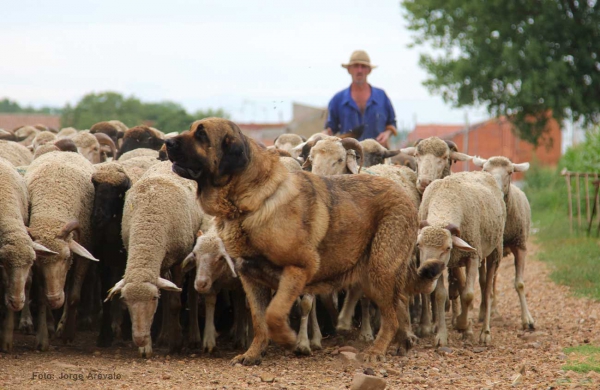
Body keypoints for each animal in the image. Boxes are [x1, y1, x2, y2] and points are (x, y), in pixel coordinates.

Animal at [105, 161, 204, 356]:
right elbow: (165, 299)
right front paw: (146, 347)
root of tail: (167, 161)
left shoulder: (179, 261)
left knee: (191, 292)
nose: (139, 339)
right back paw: (164, 336)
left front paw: (176, 342)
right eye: (126, 300)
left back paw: (193, 337)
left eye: (152, 299)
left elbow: (175, 303)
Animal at [418, 172, 506, 346]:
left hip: (494, 251)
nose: (426, 273)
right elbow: (440, 295)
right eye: (418, 245)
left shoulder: (473, 257)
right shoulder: (443, 265)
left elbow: (468, 295)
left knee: (487, 292)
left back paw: (485, 333)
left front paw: (462, 323)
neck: (446, 198)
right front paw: (442, 336)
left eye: (448, 247)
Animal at [474, 155, 536, 330]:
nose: (497, 192)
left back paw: (493, 309)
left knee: (494, 279)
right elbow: (483, 282)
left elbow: (519, 284)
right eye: (485, 170)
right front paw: (483, 312)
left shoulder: (520, 246)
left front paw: (527, 320)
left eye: (510, 172)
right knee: (487, 281)